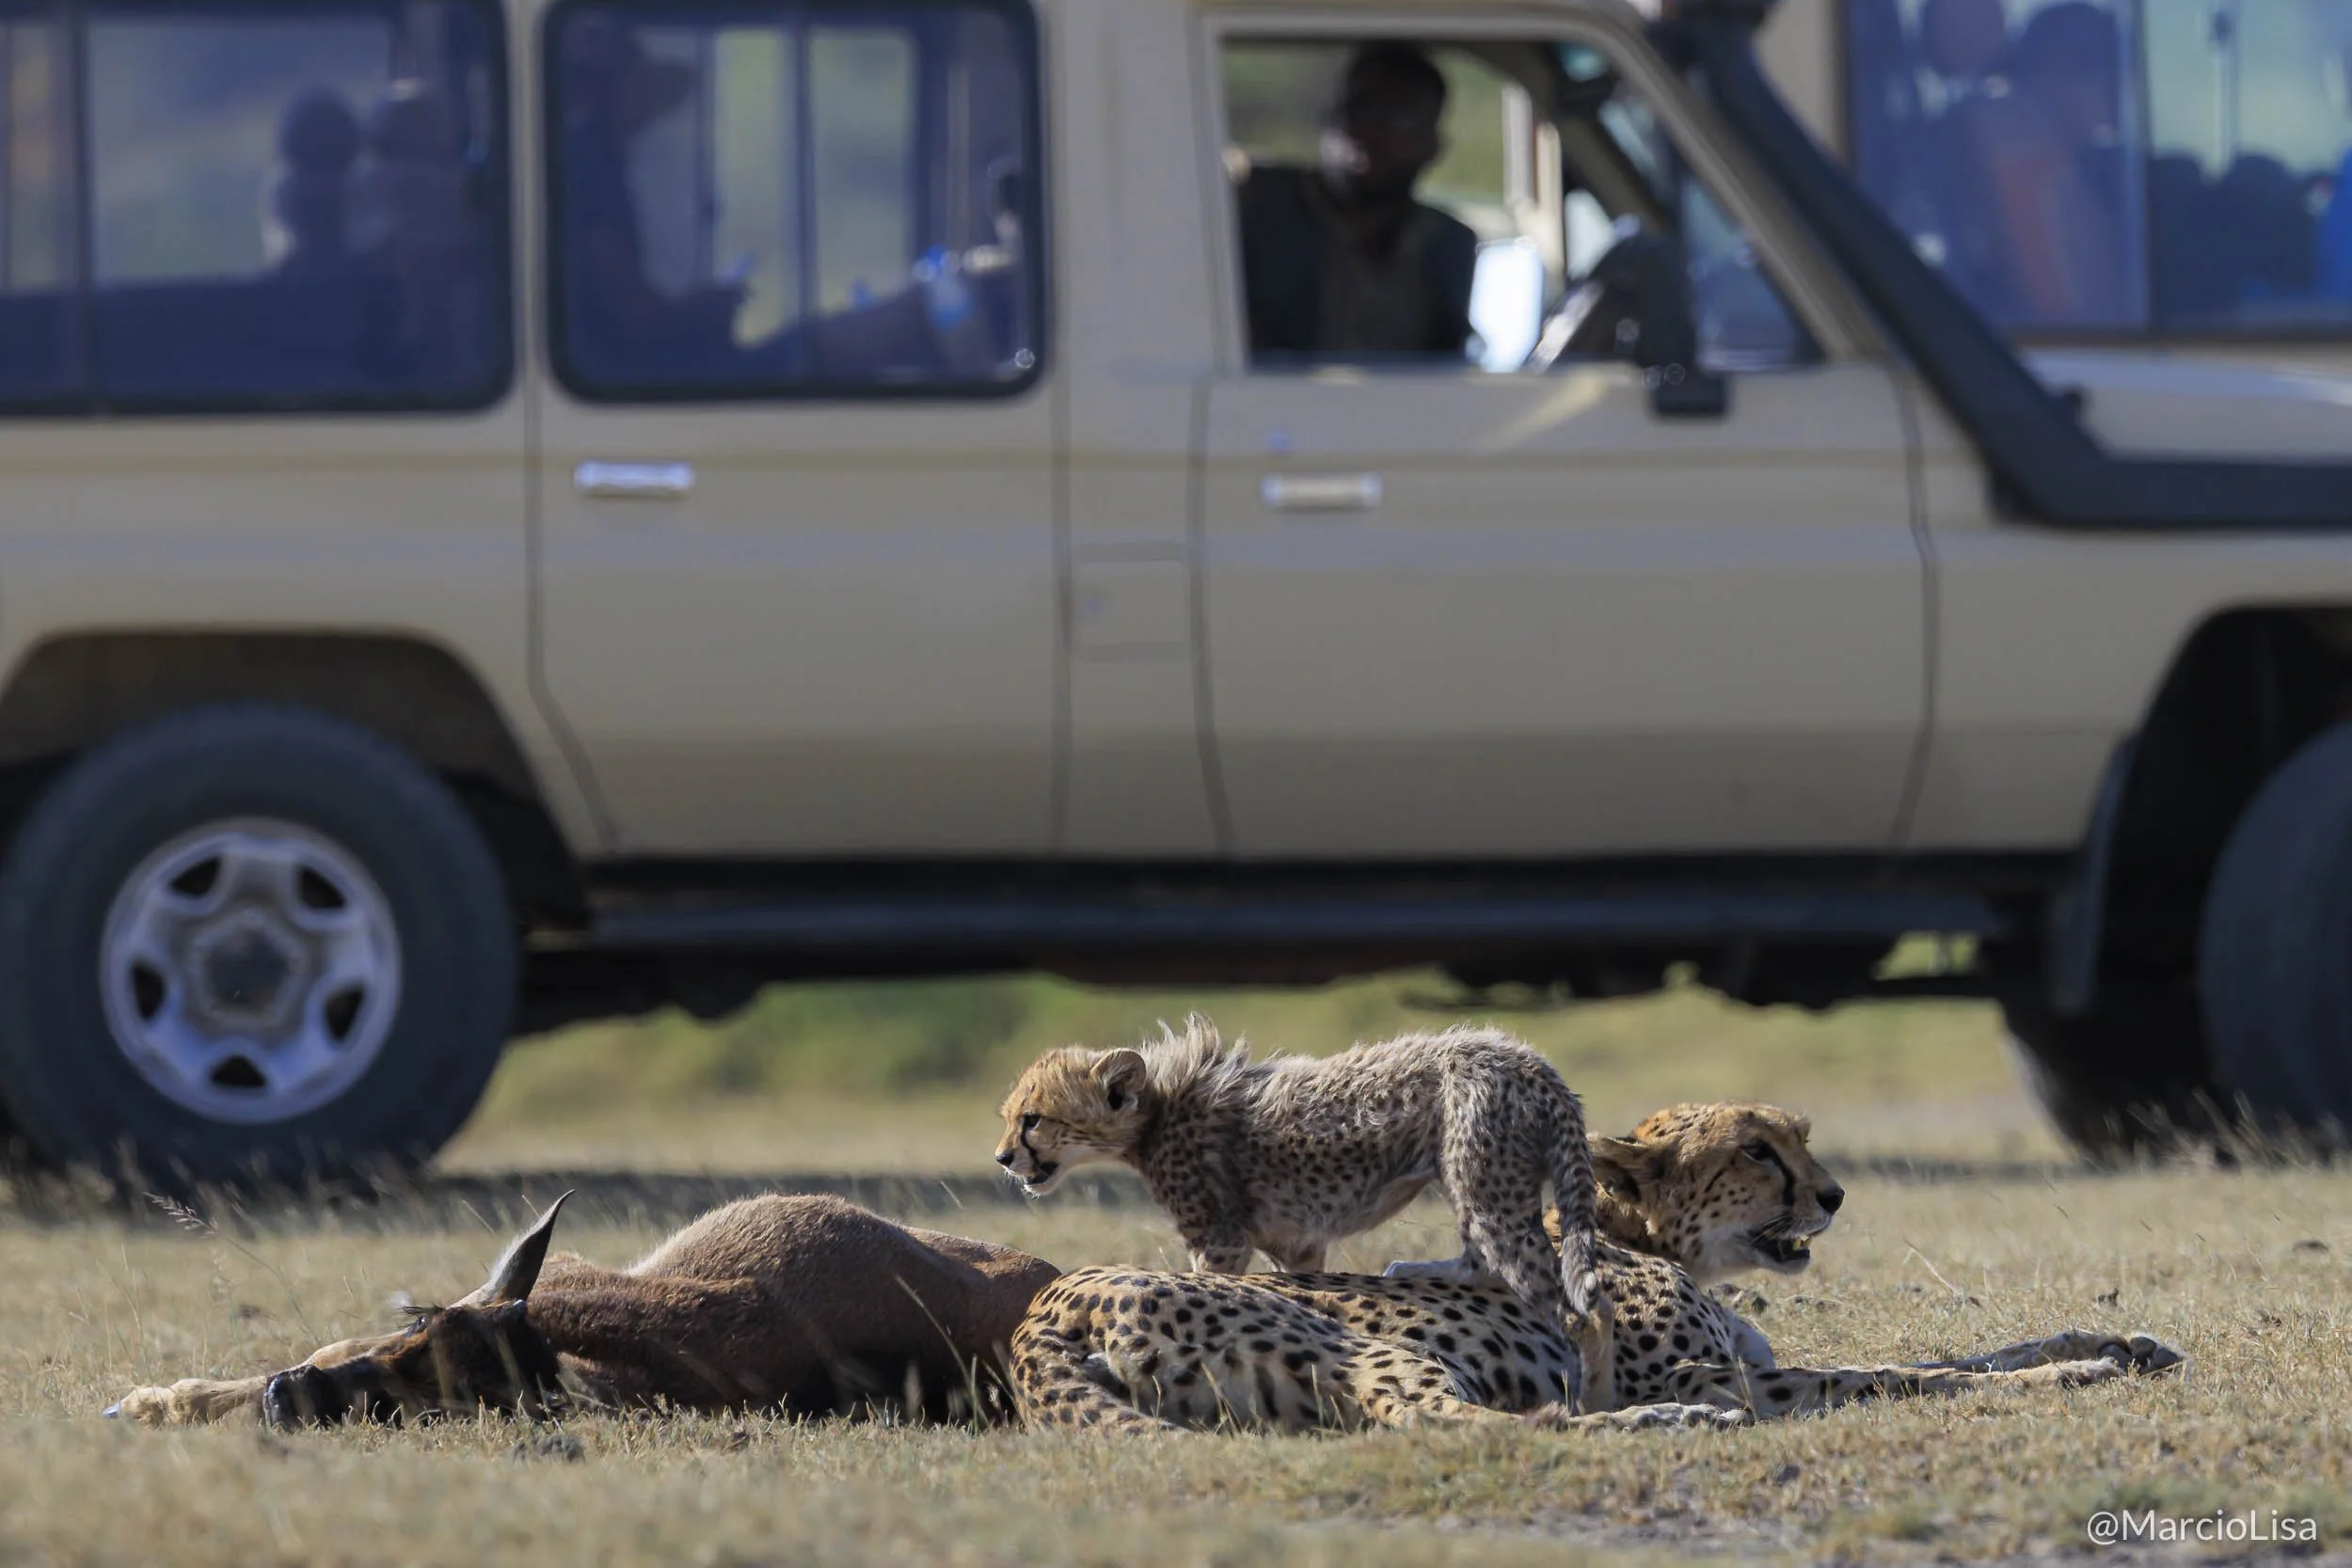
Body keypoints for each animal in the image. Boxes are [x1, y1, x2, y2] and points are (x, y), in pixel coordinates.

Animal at [993, 1017, 1612, 1405]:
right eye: (1012, 1117)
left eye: (1033, 1119)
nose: (1002, 1158)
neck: (1156, 1109)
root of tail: (1528, 1060)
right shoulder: (1295, 1242)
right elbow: (1303, 1281)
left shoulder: (1219, 1241)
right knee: (1489, 1262)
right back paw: (1415, 1269)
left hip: (1484, 1181)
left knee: (1567, 1301)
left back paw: (1585, 1392)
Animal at [1009, 1100, 2186, 1434]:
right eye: (1756, 1149)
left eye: (1800, 1135)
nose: (1834, 1194)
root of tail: (1049, 1300)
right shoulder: (1734, 1372)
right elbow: (1910, 1374)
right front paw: (2077, 1373)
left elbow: (1970, 1348)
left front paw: (2117, 1337)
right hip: (1369, 1350)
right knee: (1471, 1425)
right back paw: (1664, 1423)